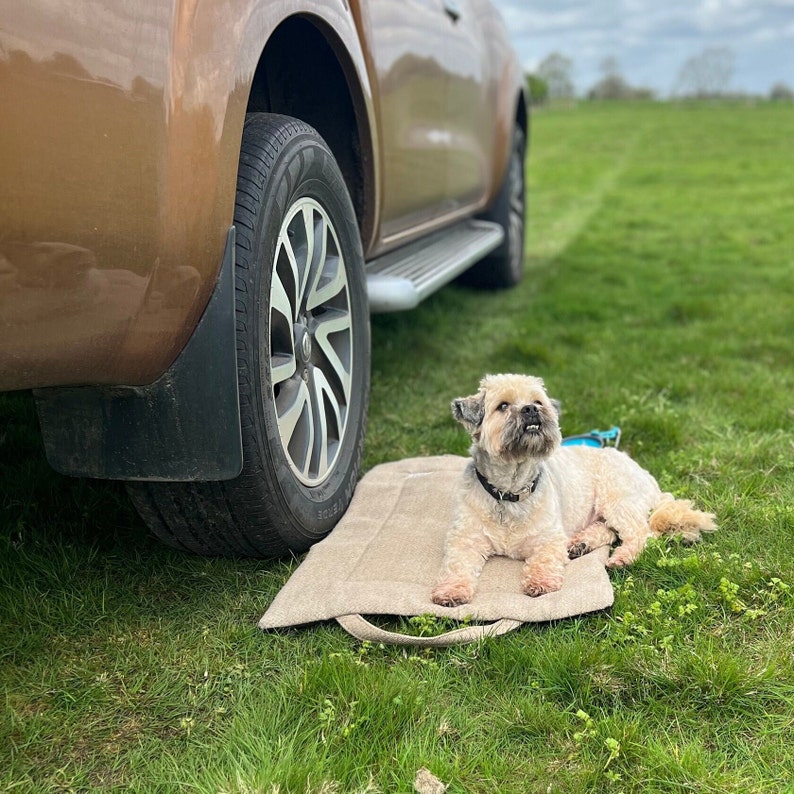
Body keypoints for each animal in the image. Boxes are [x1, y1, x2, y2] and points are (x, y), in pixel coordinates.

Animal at [430, 374, 716, 604]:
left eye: (538, 401)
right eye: (503, 406)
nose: (530, 409)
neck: (509, 491)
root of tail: (646, 475)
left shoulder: (548, 538)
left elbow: (544, 559)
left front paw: (540, 582)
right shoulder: (464, 540)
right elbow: (456, 566)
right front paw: (451, 591)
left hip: (616, 497)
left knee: (640, 533)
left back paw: (621, 557)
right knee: (610, 530)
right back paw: (581, 543)